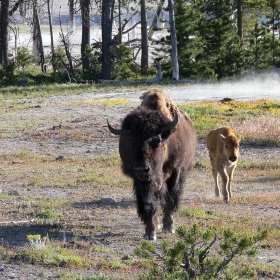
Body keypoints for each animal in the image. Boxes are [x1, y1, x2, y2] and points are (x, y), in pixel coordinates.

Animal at [107, 88, 197, 240]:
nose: (141, 169)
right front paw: (150, 233)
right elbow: (148, 203)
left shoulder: (176, 170)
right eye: (130, 139)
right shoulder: (141, 180)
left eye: (157, 140)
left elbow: (170, 198)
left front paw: (169, 227)